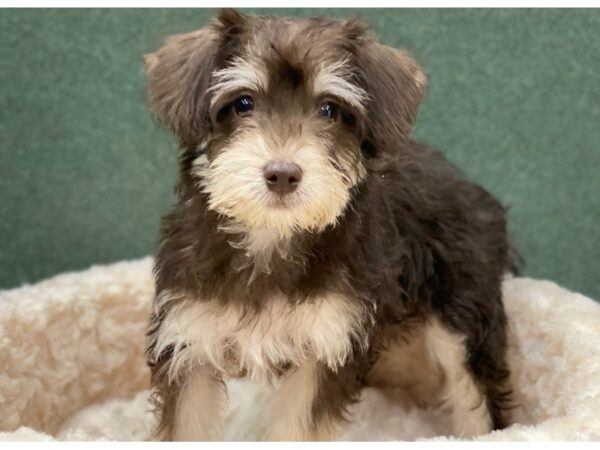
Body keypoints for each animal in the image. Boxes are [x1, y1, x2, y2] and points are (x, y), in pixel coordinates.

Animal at [145, 8, 516, 442]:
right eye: (242, 104)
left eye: (328, 109)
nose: (283, 174)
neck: (271, 239)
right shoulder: (188, 342)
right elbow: (187, 424)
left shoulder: (327, 347)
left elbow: (295, 428)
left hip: (464, 315)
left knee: (475, 393)